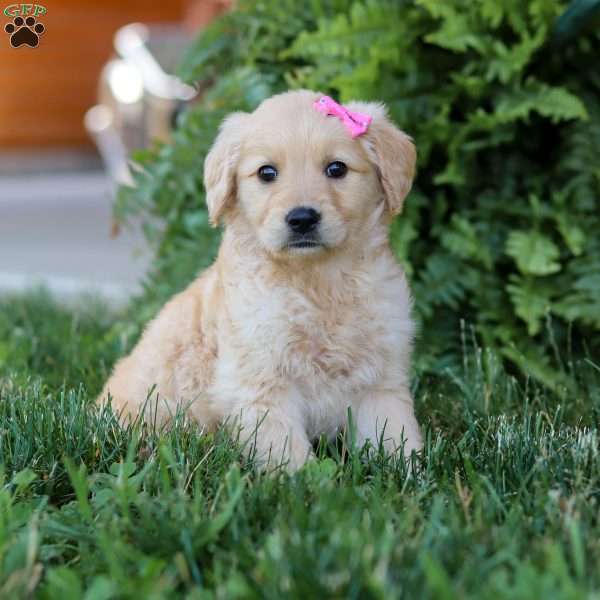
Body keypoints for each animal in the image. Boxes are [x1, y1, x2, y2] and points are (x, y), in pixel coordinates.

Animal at [99, 89, 422, 468]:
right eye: (267, 172)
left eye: (337, 168)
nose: (302, 218)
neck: (317, 281)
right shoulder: (260, 379)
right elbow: (285, 448)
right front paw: (304, 478)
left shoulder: (380, 376)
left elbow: (396, 433)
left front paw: (413, 472)